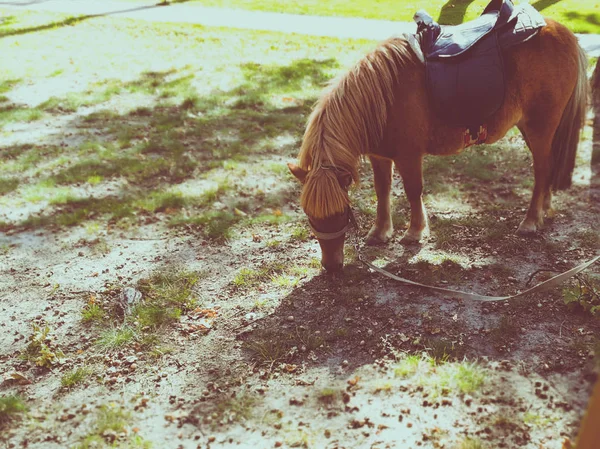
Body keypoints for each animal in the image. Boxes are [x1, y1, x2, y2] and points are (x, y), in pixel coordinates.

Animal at [288, 17, 588, 272]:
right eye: (309, 215)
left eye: (341, 214)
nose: (331, 266)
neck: (383, 96)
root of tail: (563, 32)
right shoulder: (380, 156)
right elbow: (382, 191)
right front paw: (380, 232)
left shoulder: (409, 155)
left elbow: (412, 191)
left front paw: (414, 233)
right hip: (530, 128)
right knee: (547, 168)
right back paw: (544, 211)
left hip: (540, 128)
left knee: (541, 171)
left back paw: (530, 221)